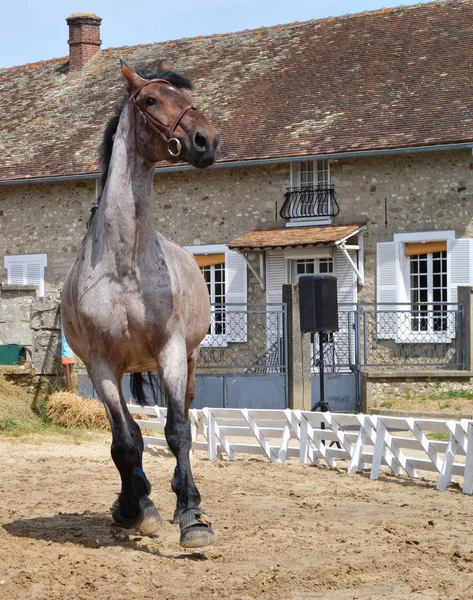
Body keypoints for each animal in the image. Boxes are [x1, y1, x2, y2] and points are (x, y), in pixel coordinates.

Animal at [60, 61, 219, 548]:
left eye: (183, 95)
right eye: (151, 100)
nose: (207, 140)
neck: (124, 264)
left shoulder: (171, 353)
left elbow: (177, 431)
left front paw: (192, 516)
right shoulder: (101, 366)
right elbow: (125, 442)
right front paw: (135, 509)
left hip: (190, 360)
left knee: (182, 415)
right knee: (127, 433)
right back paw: (139, 499)